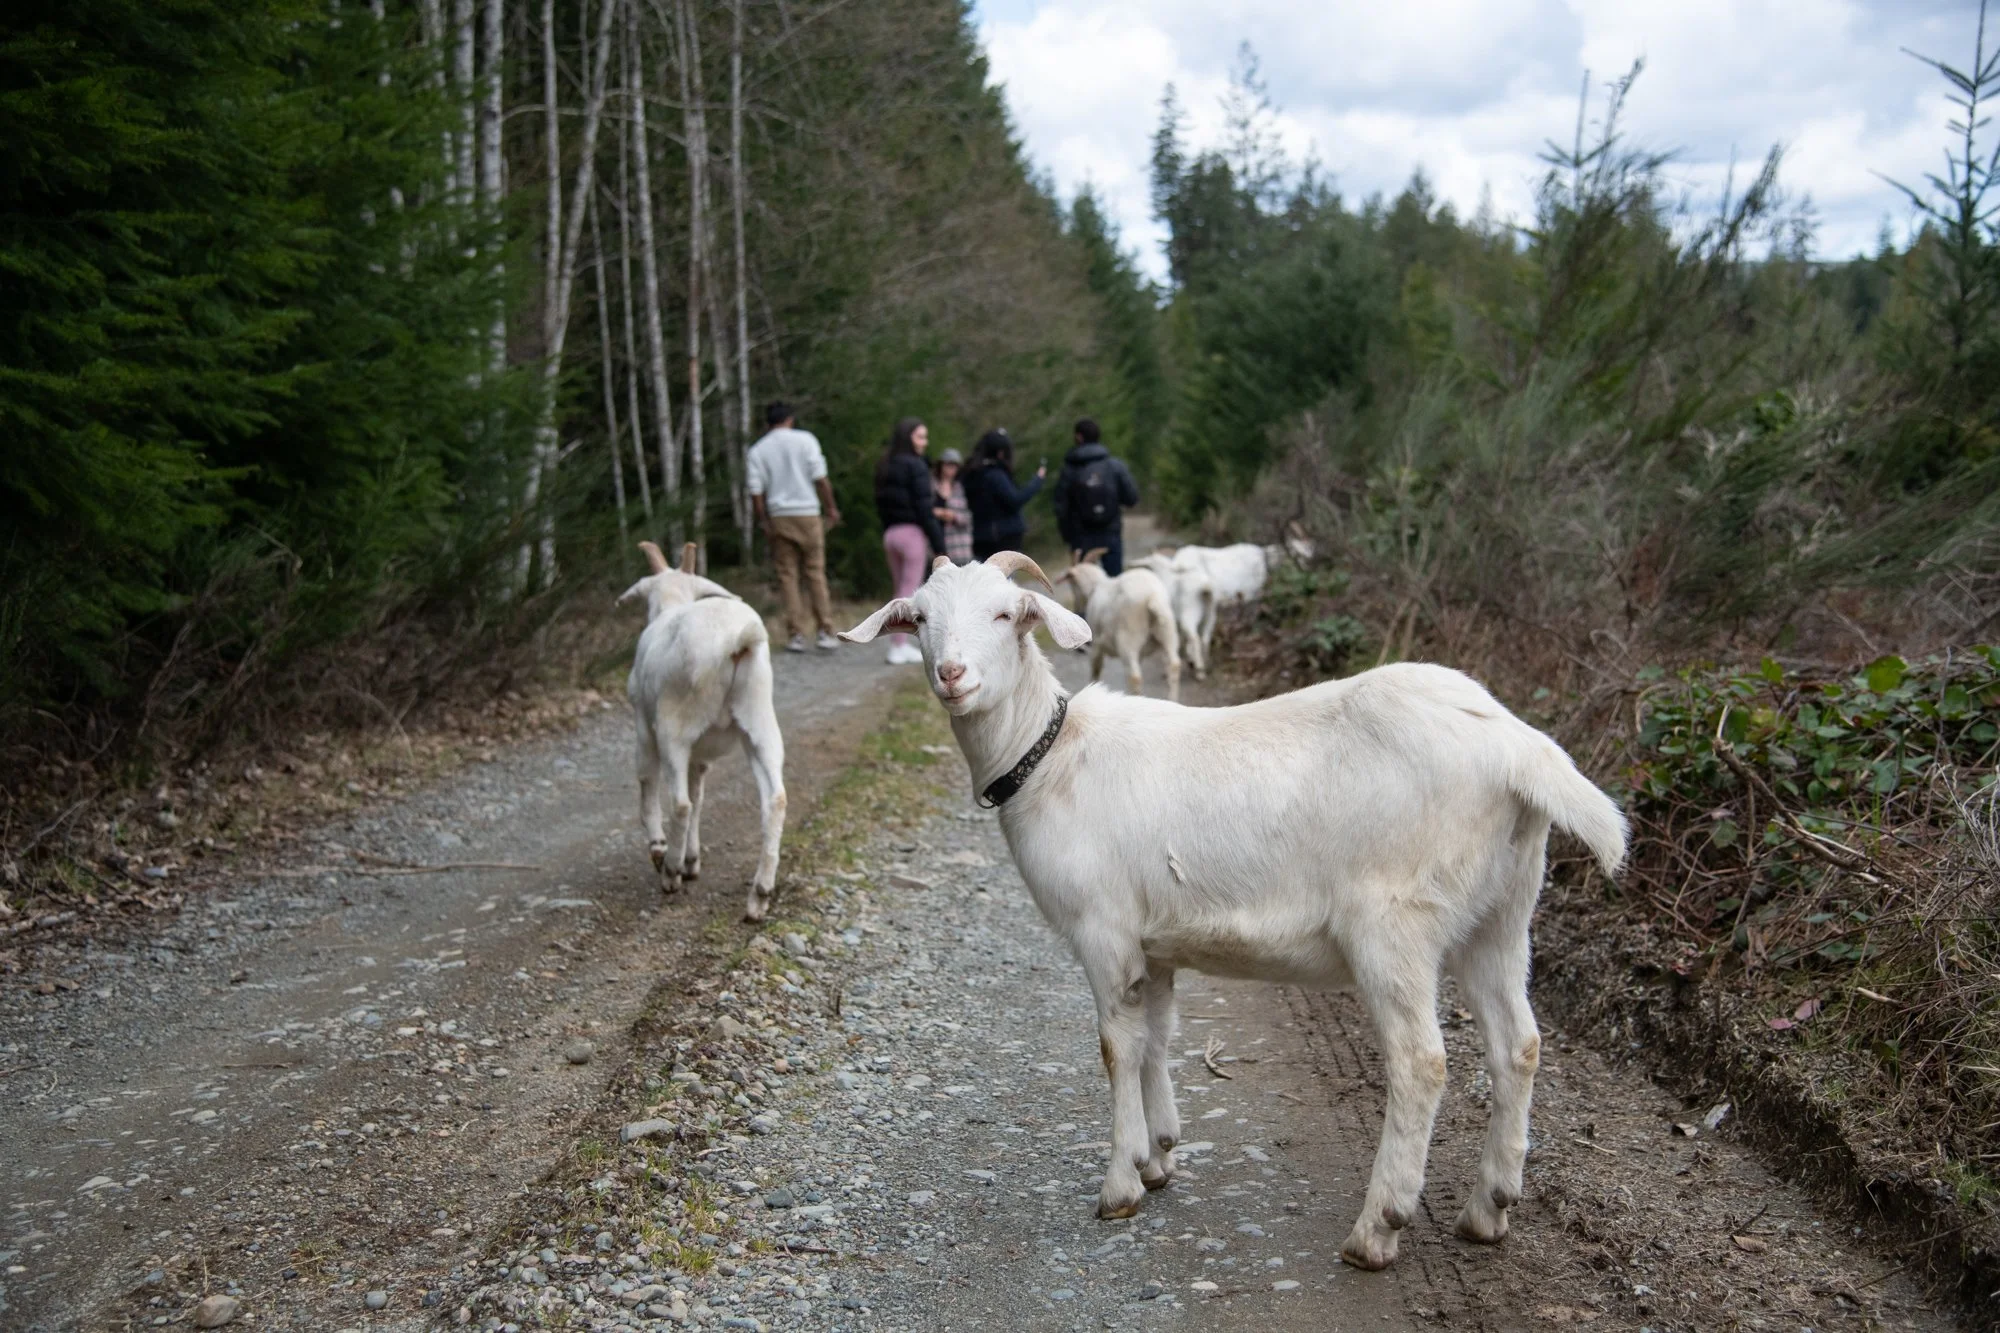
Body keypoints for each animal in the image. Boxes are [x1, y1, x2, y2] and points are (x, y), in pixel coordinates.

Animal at [619, 541, 787, 922]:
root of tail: (737, 642)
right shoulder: (701, 754)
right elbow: (699, 798)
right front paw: (692, 860)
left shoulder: (643, 726)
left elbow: (649, 784)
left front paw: (661, 850)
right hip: (759, 723)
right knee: (775, 799)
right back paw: (759, 894)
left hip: (674, 728)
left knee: (679, 803)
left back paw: (669, 872)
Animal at [1053, 548, 1180, 702]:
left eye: (1072, 584)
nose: (1077, 606)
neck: (1095, 586)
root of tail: (1152, 597)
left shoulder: (1096, 644)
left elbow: (1095, 670)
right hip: (1168, 631)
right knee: (1174, 665)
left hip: (1128, 639)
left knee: (1135, 677)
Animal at [1133, 551, 1216, 680]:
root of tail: (1204, 588)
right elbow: (1183, 640)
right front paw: (1188, 659)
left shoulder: (1168, 621)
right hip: (1209, 617)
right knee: (1205, 639)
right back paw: (1204, 665)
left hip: (1189, 615)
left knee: (1195, 638)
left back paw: (1199, 671)